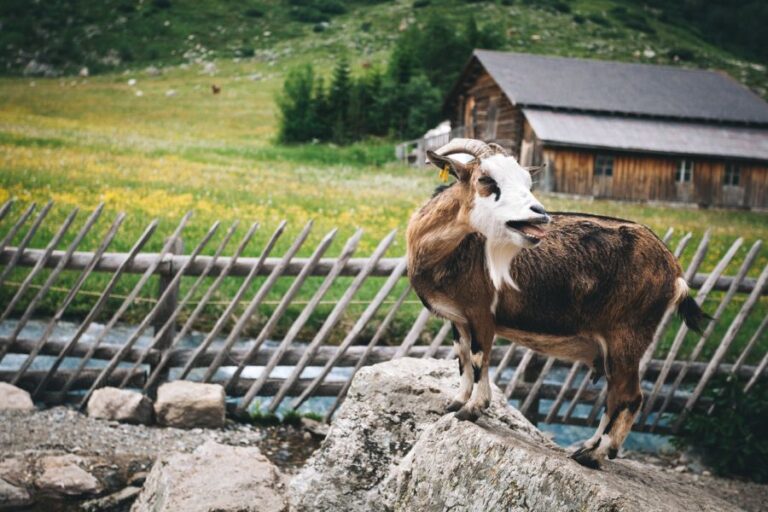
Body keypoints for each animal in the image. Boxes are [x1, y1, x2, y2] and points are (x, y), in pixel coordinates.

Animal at [406, 138, 707, 469]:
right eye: (486, 180)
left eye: (528, 182)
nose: (539, 213)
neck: (445, 251)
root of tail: (675, 271)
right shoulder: (459, 319)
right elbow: (461, 358)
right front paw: (456, 402)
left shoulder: (482, 312)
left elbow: (478, 357)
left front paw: (472, 410)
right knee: (615, 394)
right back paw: (587, 448)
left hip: (628, 334)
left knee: (631, 396)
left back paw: (595, 455)